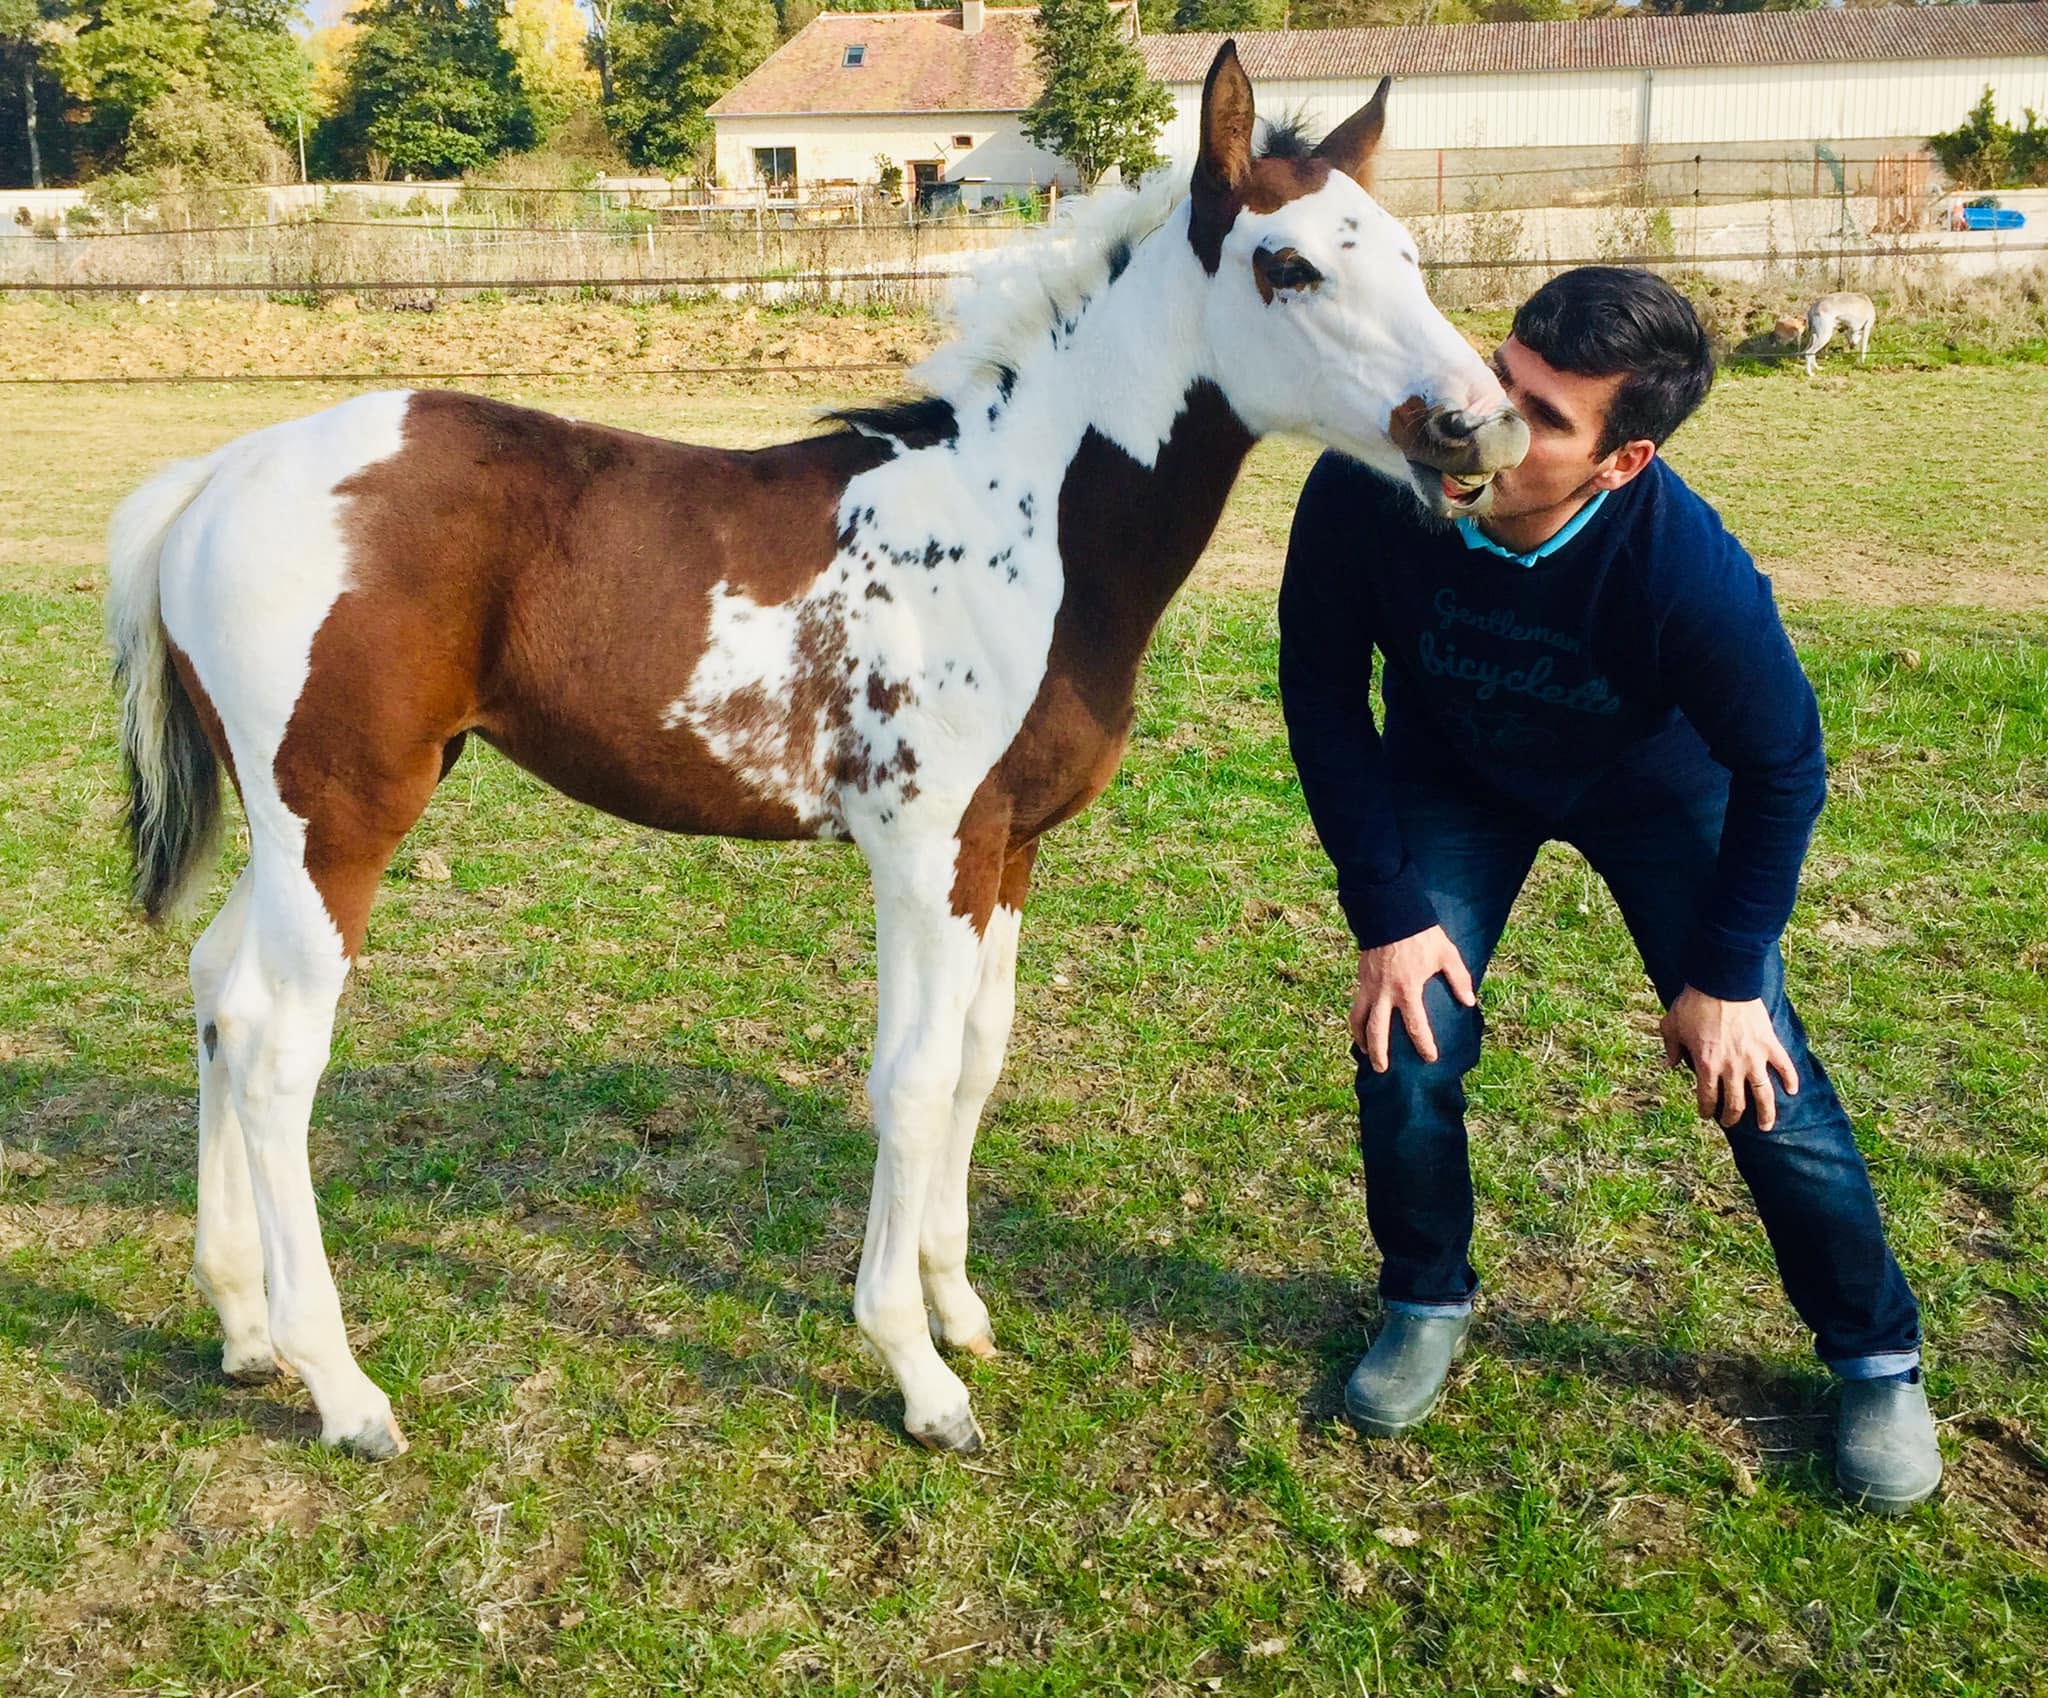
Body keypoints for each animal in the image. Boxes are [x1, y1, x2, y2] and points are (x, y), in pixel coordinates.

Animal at [104, 43, 1527, 1458]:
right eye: (1286, 266)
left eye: (1407, 252)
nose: (1483, 426)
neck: (1021, 525)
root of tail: (214, 478)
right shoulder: (921, 852)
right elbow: (908, 1081)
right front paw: (918, 1374)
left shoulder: (1004, 855)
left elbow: (975, 1064)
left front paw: (959, 1310)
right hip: (343, 818)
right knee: (277, 1051)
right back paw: (342, 1389)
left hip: (296, 826)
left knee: (218, 993)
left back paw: (240, 1326)